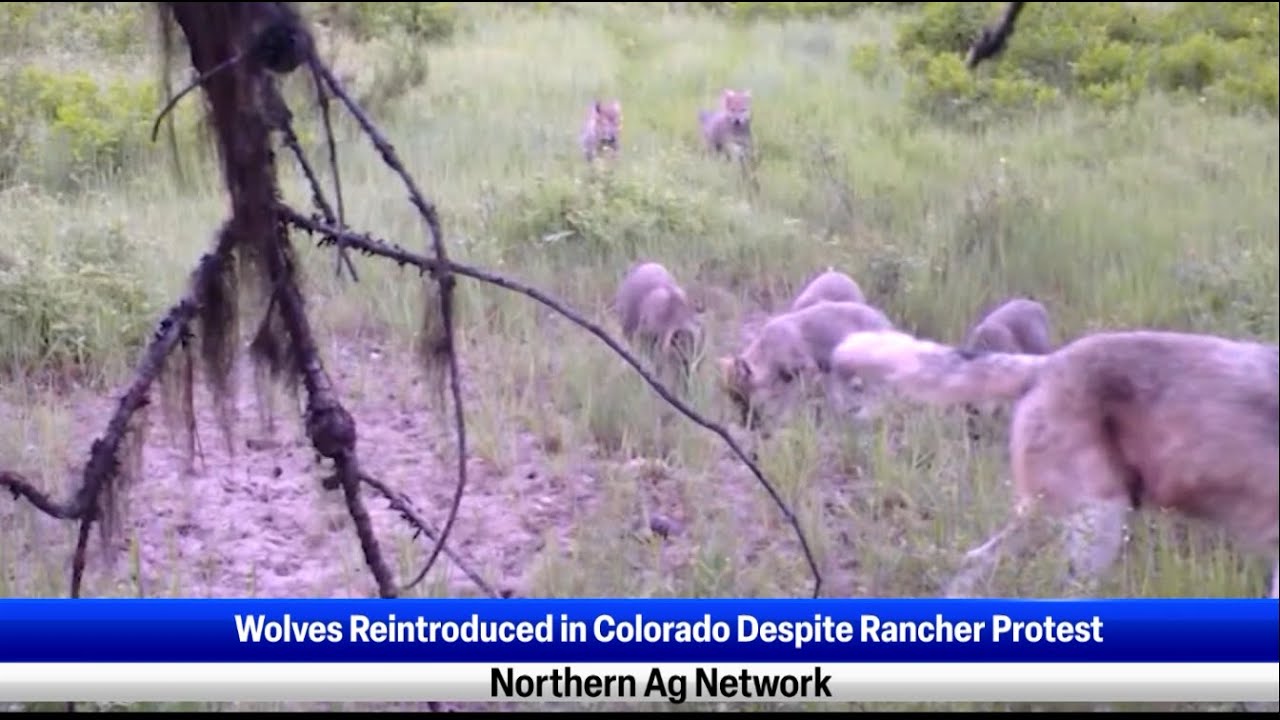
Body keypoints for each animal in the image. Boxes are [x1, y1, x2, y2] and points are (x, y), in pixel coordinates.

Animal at [718, 300, 894, 428]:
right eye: (734, 399)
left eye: (741, 398)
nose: (745, 425)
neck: (767, 347)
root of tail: (883, 318)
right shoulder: (809, 374)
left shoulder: (806, 370)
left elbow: (790, 400)